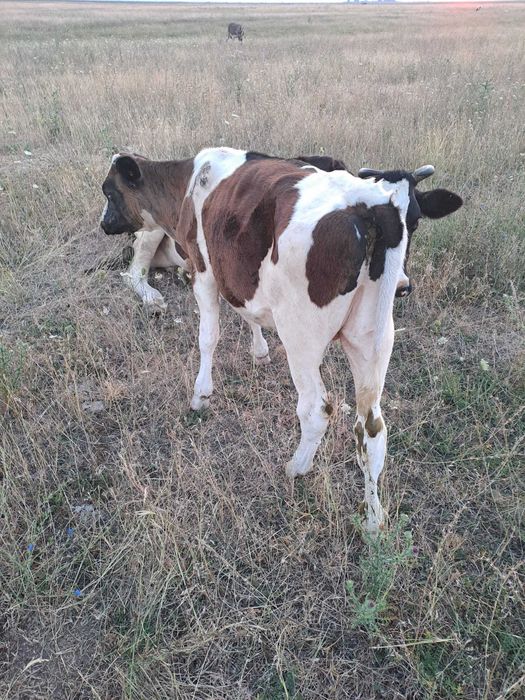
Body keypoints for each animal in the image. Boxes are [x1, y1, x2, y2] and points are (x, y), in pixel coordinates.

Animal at [171, 148, 462, 534]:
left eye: (417, 221)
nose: (404, 285)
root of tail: (369, 205)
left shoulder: (202, 266)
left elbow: (208, 336)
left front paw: (201, 394)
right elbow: (247, 314)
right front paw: (259, 352)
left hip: (301, 335)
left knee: (317, 407)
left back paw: (297, 467)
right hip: (373, 339)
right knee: (372, 427)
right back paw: (373, 518)